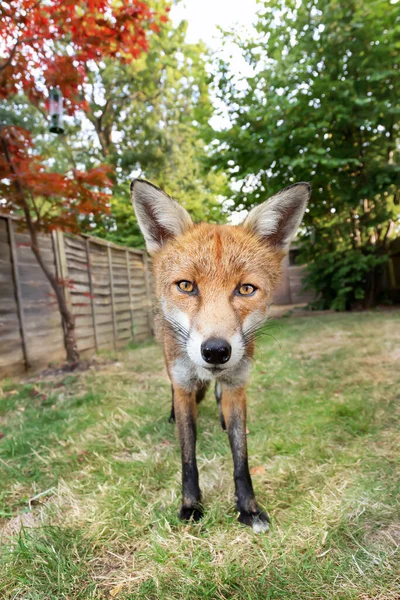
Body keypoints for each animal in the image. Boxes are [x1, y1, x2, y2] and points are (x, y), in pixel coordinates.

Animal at [130, 177, 310, 528]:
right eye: (186, 286)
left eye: (246, 289)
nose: (215, 351)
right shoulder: (185, 388)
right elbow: (188, 457)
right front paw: (191, 505)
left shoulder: (237, 387)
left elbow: (241, 457)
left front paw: (248, 508)